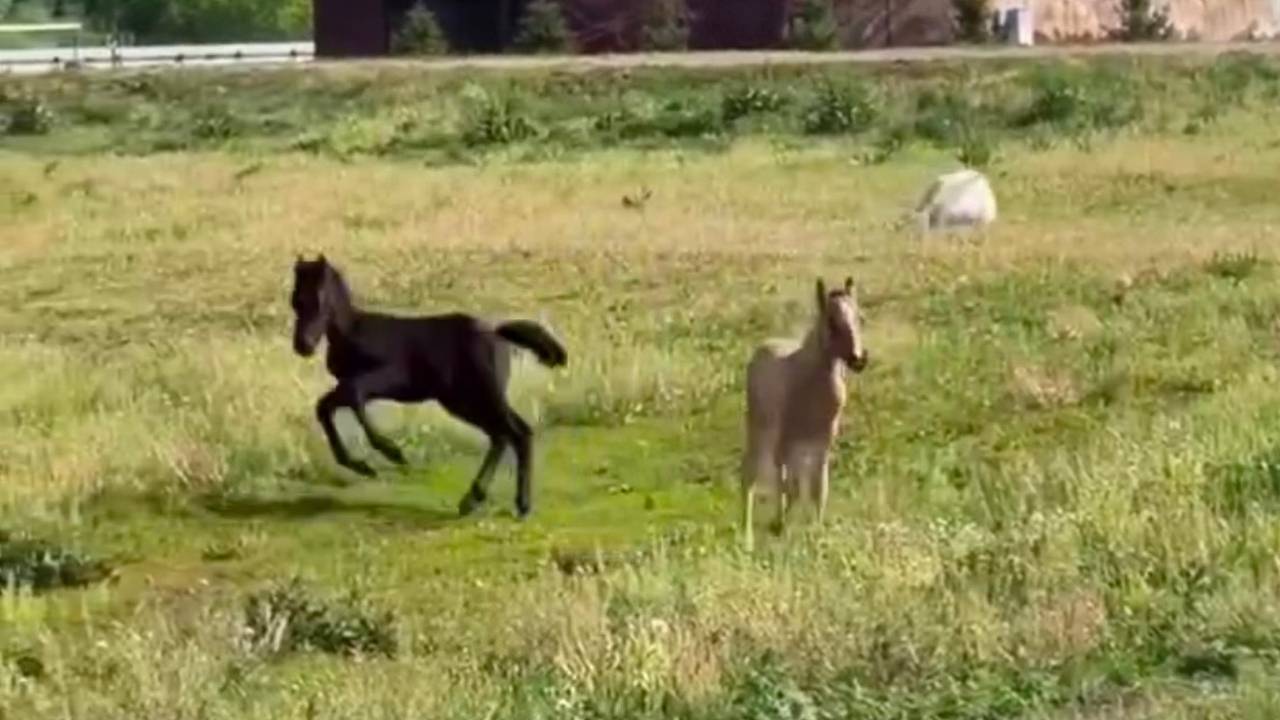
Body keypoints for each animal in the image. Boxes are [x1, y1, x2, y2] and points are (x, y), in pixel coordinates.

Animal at [288, 255, 568, 520]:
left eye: (319, 298)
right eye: (295, 300)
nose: (303, 345)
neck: (354, 331)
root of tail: (497, 332)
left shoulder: (388, 375)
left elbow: (353, 396)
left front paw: (393, 453)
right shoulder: (352, 384)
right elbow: (324, 406)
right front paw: (360, 465)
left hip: (482, 396)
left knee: (518, 432)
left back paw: (521, 505)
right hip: (463, 401)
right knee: (501, 435)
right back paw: (473, 499)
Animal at [740, 277, 868, 550]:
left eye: (859, 318)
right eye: (832, 320)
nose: (858, 360)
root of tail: (763, 347)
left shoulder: (823, 443)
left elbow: (819, 488)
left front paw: (816, 532)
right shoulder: (787, 440)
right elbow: (793, 487)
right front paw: (781, 527)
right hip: (762, 429)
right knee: (751, 475)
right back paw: (749, 536)